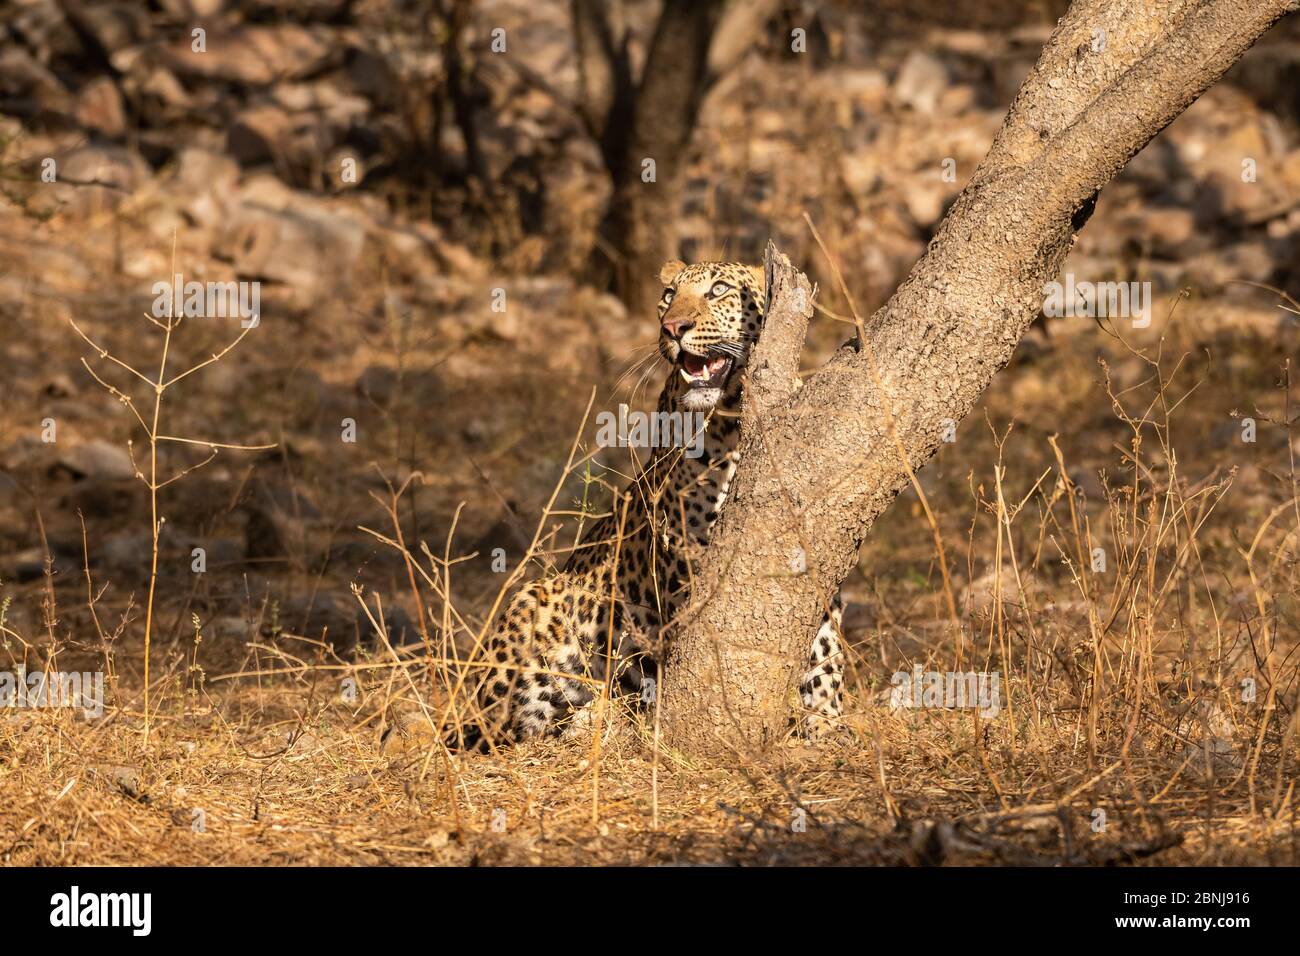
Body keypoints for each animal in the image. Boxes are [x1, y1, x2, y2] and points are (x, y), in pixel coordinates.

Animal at [462, 260, 847, 749]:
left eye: (719, 290)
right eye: (668, 296)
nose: (672, 328)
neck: (733, 422)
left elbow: (826, 635)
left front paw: (826, 713)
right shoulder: (683, 551)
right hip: (533, 604)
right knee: (512, 725)